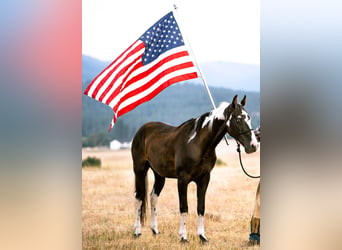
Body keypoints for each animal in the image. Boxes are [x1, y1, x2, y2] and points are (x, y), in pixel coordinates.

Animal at [130, 94, 256, 243]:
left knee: (153, 197)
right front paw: (183, 237)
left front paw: (202, 237)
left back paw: (155, 230)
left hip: (159, 175)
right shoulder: (182, 180)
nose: (253, 146)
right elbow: (184, 207)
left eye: (249, 118)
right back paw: (137, 232)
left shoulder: (204, 179)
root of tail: (141, 130)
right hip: (139, 170)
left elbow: (201, 207)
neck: (197, 144)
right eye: (238, 119)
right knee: (138, 199)